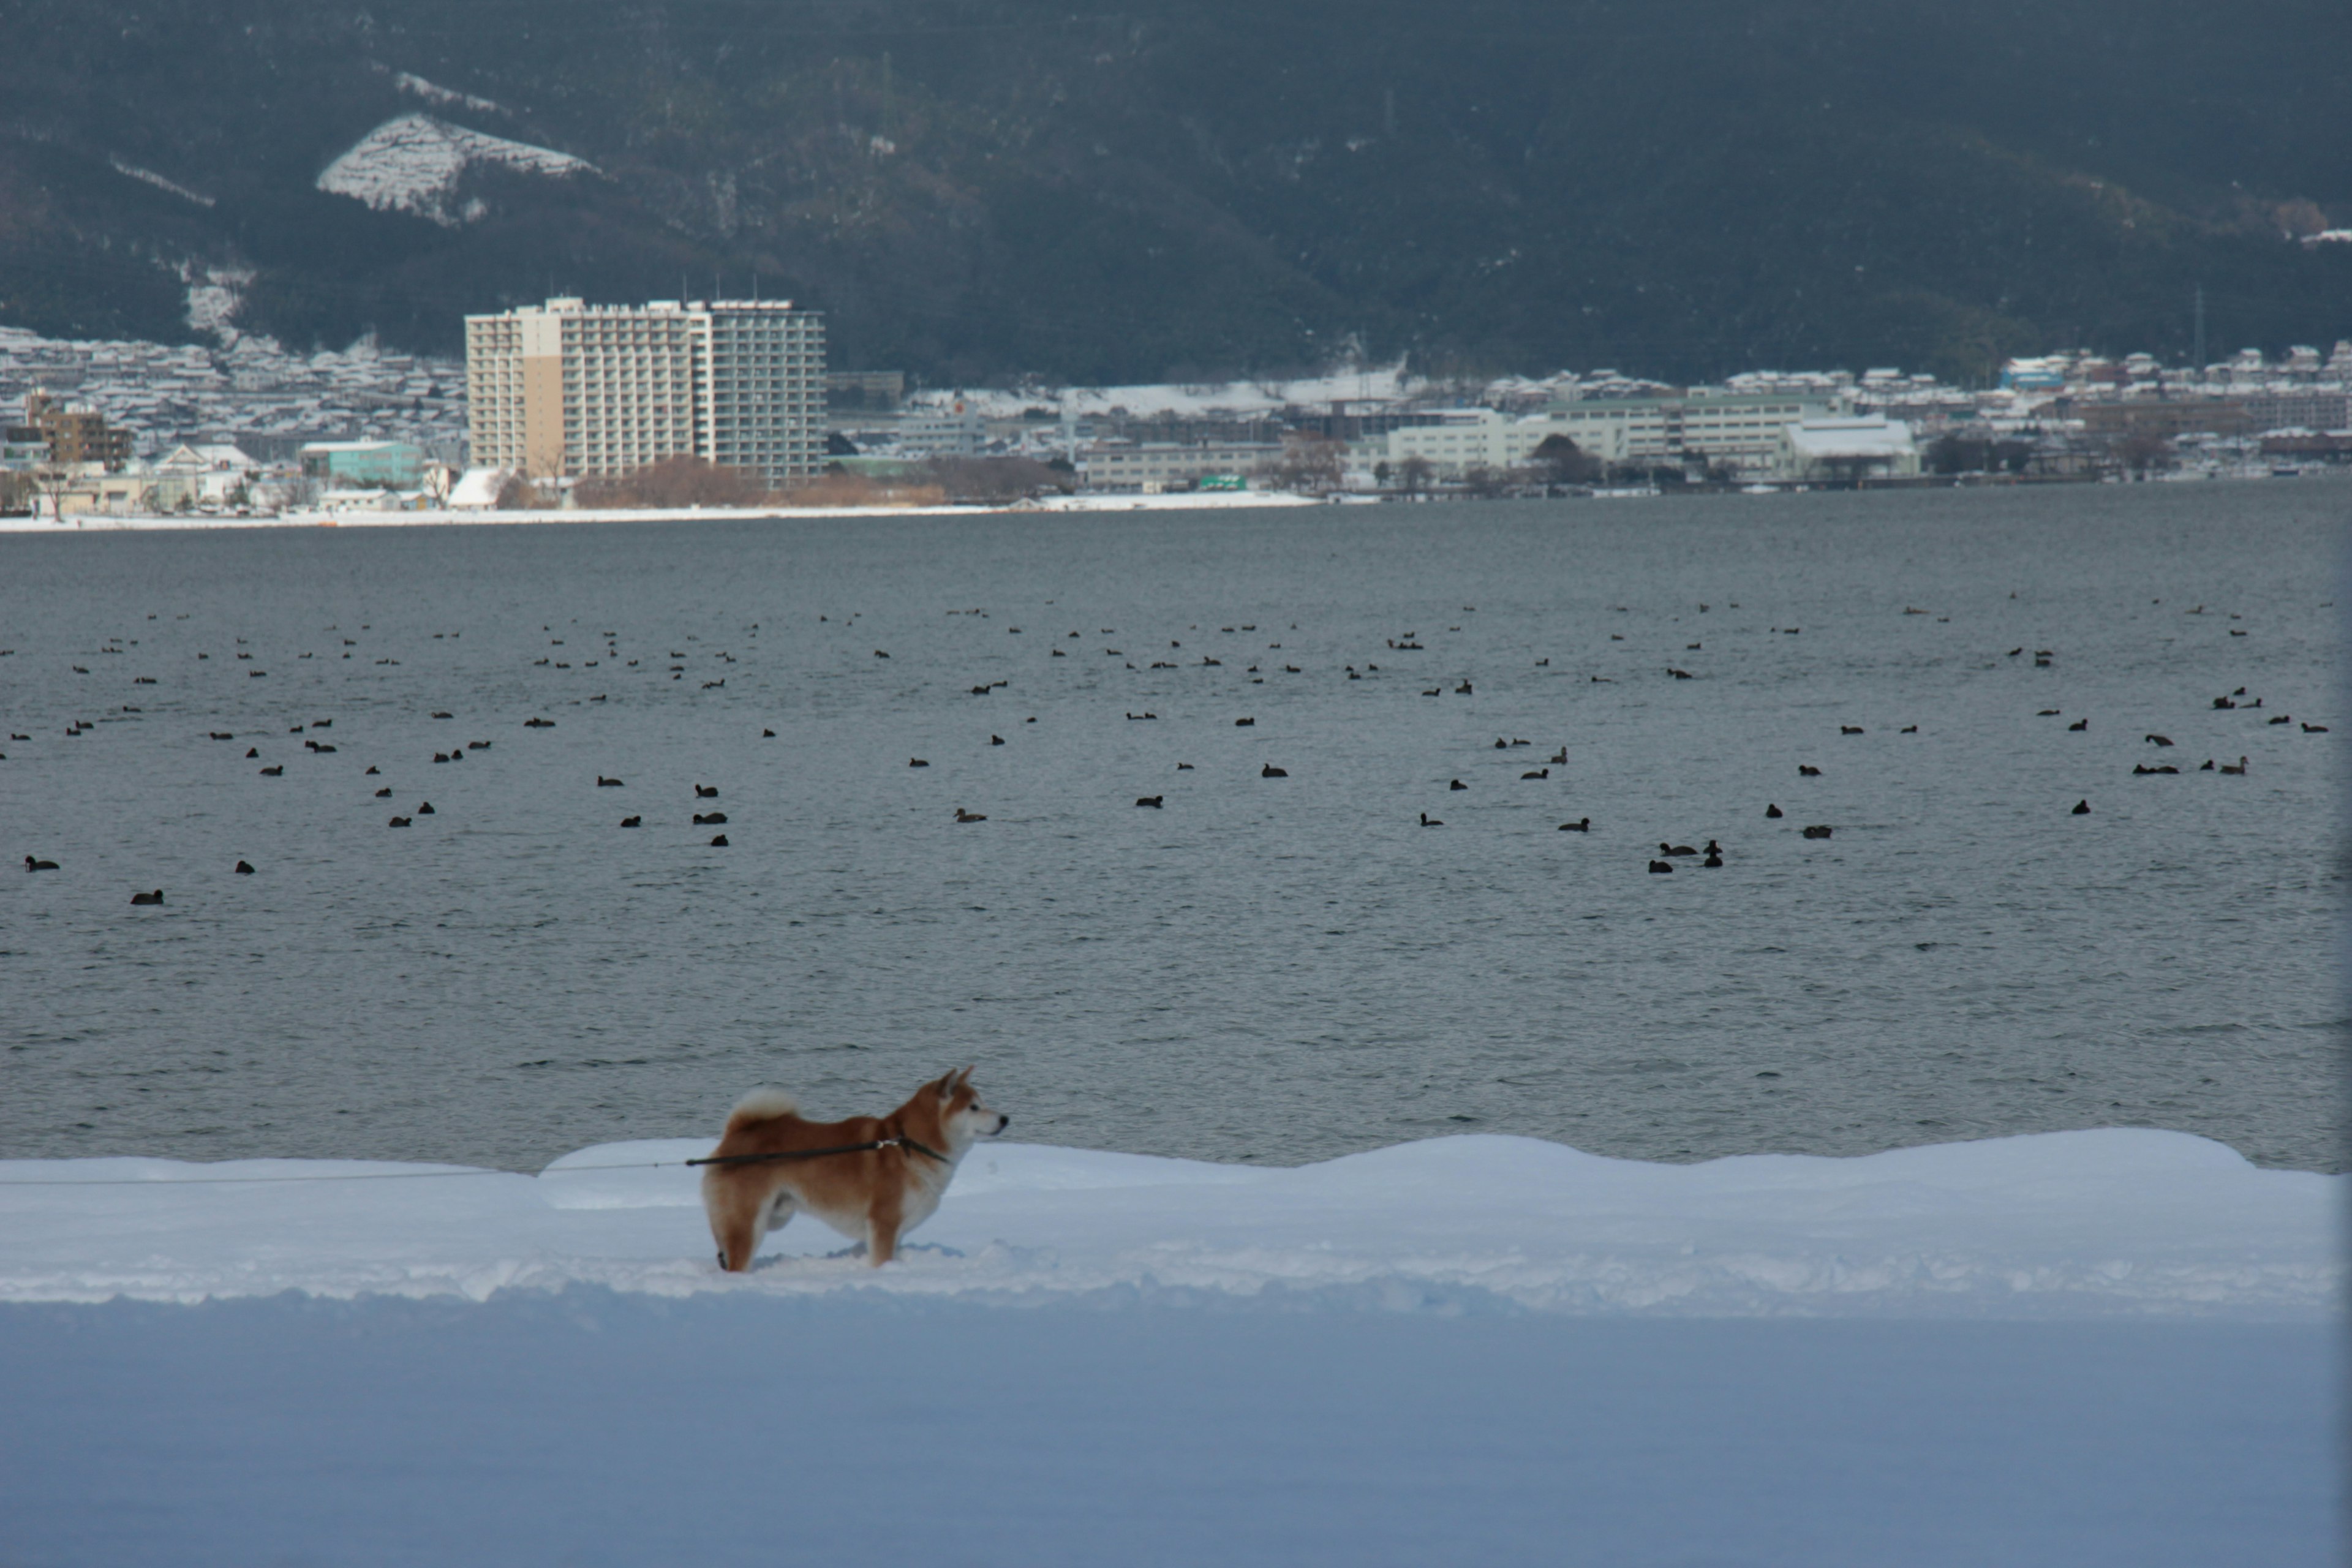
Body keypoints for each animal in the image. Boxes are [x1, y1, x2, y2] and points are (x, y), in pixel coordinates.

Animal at [687, 1067, 1001, 1278]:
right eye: (974, 1107)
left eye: (982, 1103)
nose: (1005, 1119)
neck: (908, 1144)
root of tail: (736, 1134)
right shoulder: (883, 1223)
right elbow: (881, 1259)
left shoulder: (896, 1228)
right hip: (747, 1222)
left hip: (774, 1216)